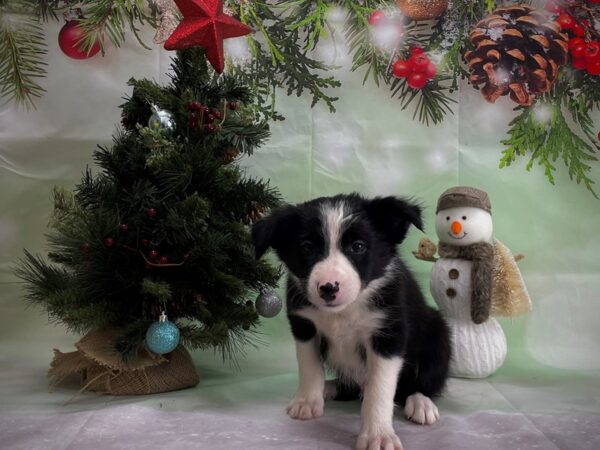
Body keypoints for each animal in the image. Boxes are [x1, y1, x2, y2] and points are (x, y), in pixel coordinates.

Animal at [252, 194, 450, 450]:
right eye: (306, 247)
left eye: (358, 246)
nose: (328, 288)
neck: (344, 311)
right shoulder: (304, 326)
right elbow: (309, 366)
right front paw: (307, 401)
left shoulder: (389, 333)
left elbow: (379, 388)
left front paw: (378, 435)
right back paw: (330, 387)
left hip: (438, 335)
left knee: (417, 384)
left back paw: (420, 403)